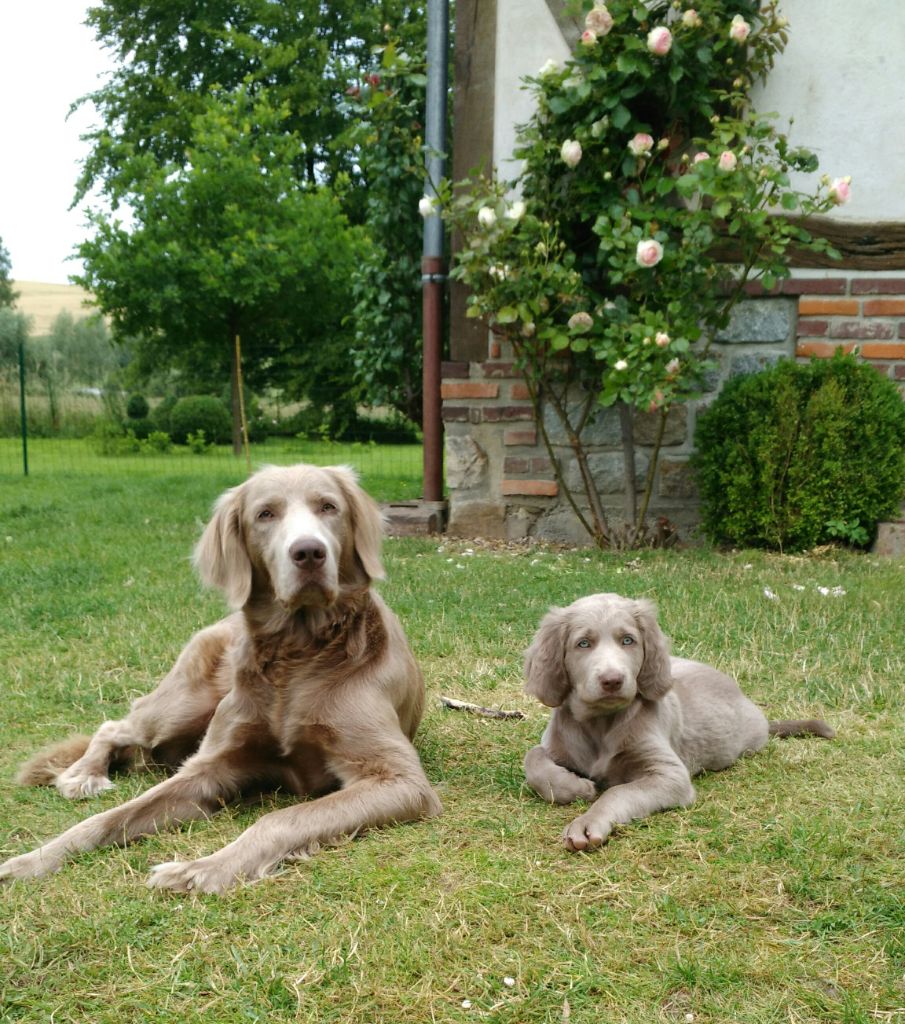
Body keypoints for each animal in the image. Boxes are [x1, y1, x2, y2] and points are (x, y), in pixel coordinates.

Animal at [0, 464, 442, 888]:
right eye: (265, 514)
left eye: (328, 507)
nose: (309, 552)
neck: (298, 656)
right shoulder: (208, 765)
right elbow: (110, 818)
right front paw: (34, 859)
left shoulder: (399, 780)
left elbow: (280, 817)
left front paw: (202, 869)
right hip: (182, 707)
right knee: (116, 724)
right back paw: (83, 774)